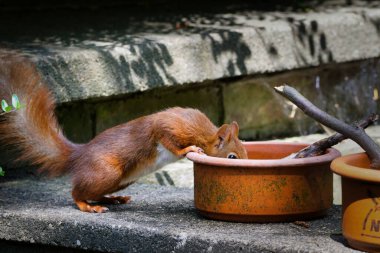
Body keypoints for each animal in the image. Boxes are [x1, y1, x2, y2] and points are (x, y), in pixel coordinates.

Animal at [0, 52, 248, 212]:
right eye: (232, 157)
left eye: (246, 153)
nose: (246, 164)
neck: (203, 132)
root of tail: (79, 154)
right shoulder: (169, 127)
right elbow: (166, 137)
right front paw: (189, 149)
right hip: (106, 172)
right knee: (76, 194)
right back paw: (88, 207)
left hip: (118, 180)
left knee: (93, 192)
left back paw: (112, 199)